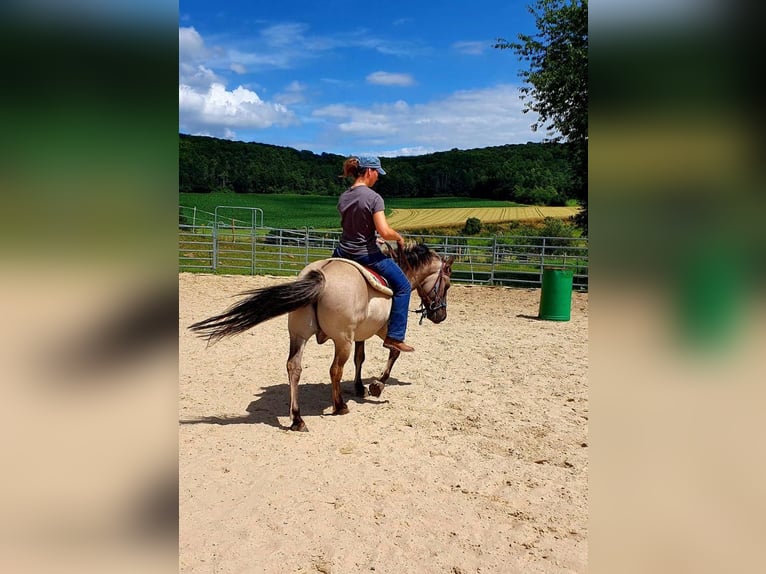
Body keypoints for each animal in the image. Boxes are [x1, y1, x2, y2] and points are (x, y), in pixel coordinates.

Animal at [188, 243, 456, 432]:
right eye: (448, 284)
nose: (441, 314)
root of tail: (321, 274)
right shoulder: (384, 330)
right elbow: (394, 351)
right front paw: (376, 386)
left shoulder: (361, 334)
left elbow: (360, 358)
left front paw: (359, 386)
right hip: (341, 341)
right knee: (335, 369)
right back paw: (339, 406)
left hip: (298, 335)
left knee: (294, 367)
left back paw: (297, 418)